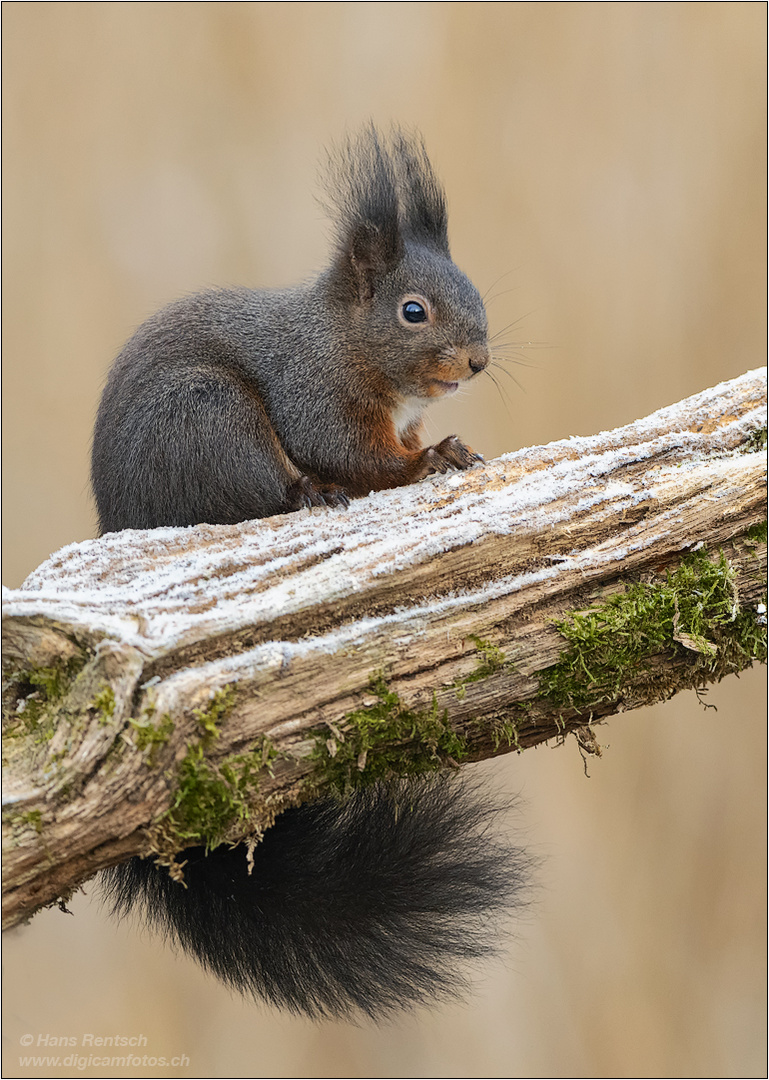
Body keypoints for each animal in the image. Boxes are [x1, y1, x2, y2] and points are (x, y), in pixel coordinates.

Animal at [92, 128, 529, 1019]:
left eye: (472, 292)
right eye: (412, 311)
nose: (475, 361)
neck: (344, 338)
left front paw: (446, 444)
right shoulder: (318, 397)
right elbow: (357, 455)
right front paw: (430, 458)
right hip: (212, 423)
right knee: (263, 492)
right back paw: (309, 495)